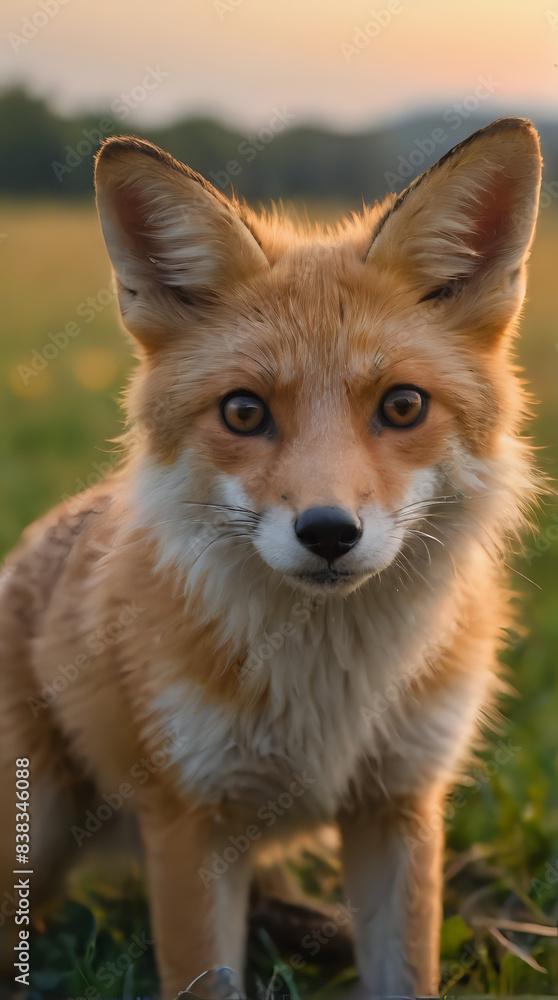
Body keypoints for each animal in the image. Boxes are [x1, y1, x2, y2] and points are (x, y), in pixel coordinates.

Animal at [0, 117, 542, 999]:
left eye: (403, 406)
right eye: (244, 413)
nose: (327, 532)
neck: (328, 691)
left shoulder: (400, 803)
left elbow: (405, 973)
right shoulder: (189, 821)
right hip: (36, 830)